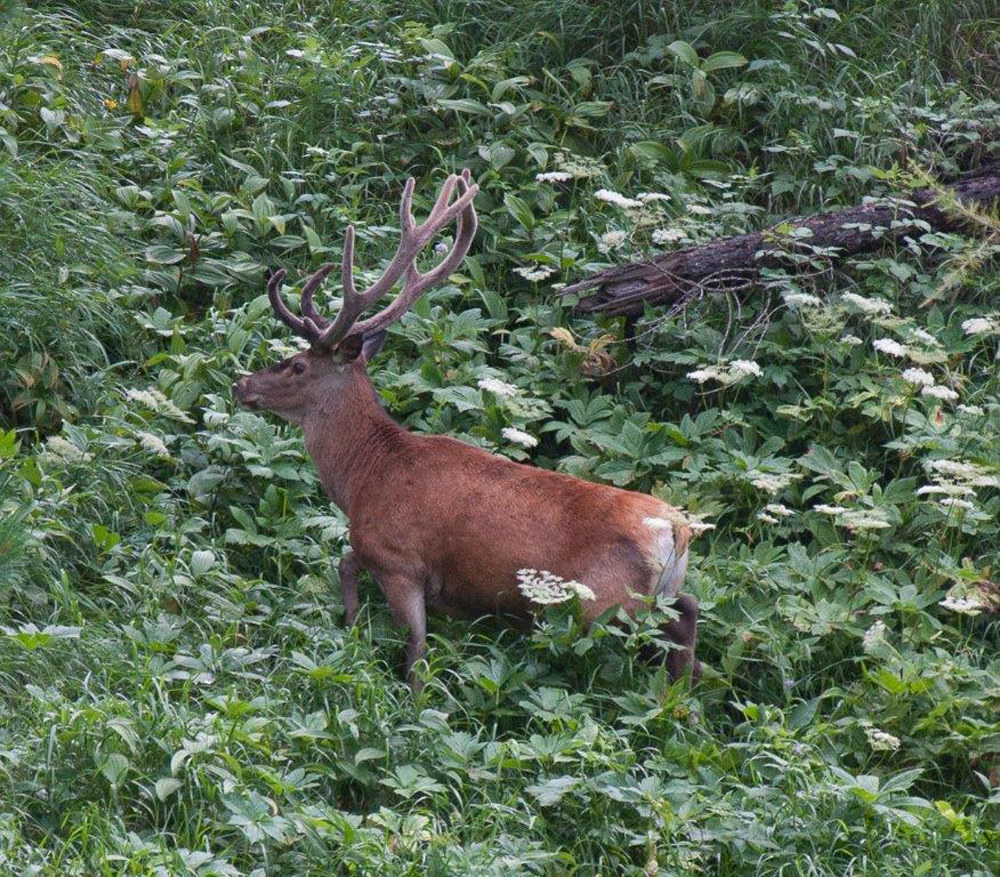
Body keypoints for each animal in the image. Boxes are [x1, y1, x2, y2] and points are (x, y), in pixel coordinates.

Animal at [232, 170, 701, 688]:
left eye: (296, 366)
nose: (241, 383)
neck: (363, 478)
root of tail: (677, 529)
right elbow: (346, 563)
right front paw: (352, 629)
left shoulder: (400, 560)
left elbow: (415, 649)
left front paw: (408, 695)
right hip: (647, 597)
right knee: (688, 621)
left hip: (602, 602)